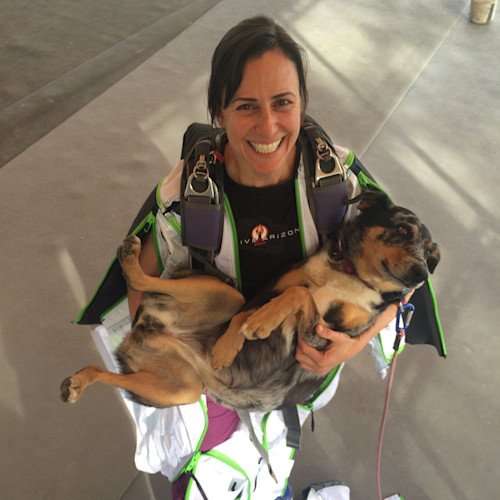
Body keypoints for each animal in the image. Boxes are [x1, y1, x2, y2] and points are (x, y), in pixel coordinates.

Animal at [60, 189, 440, 412]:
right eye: (403, 230)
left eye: (429, 252)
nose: (422, 274)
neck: (351, 274)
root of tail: (148, 330)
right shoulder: (267, 291)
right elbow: (292, 294)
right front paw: (234, 342)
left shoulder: (322, 338)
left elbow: (299, 296)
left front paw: (257, 326)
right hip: (227, 300)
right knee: (142, 283)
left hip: (183, 387)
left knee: (106, 371)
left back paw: (78, 382)